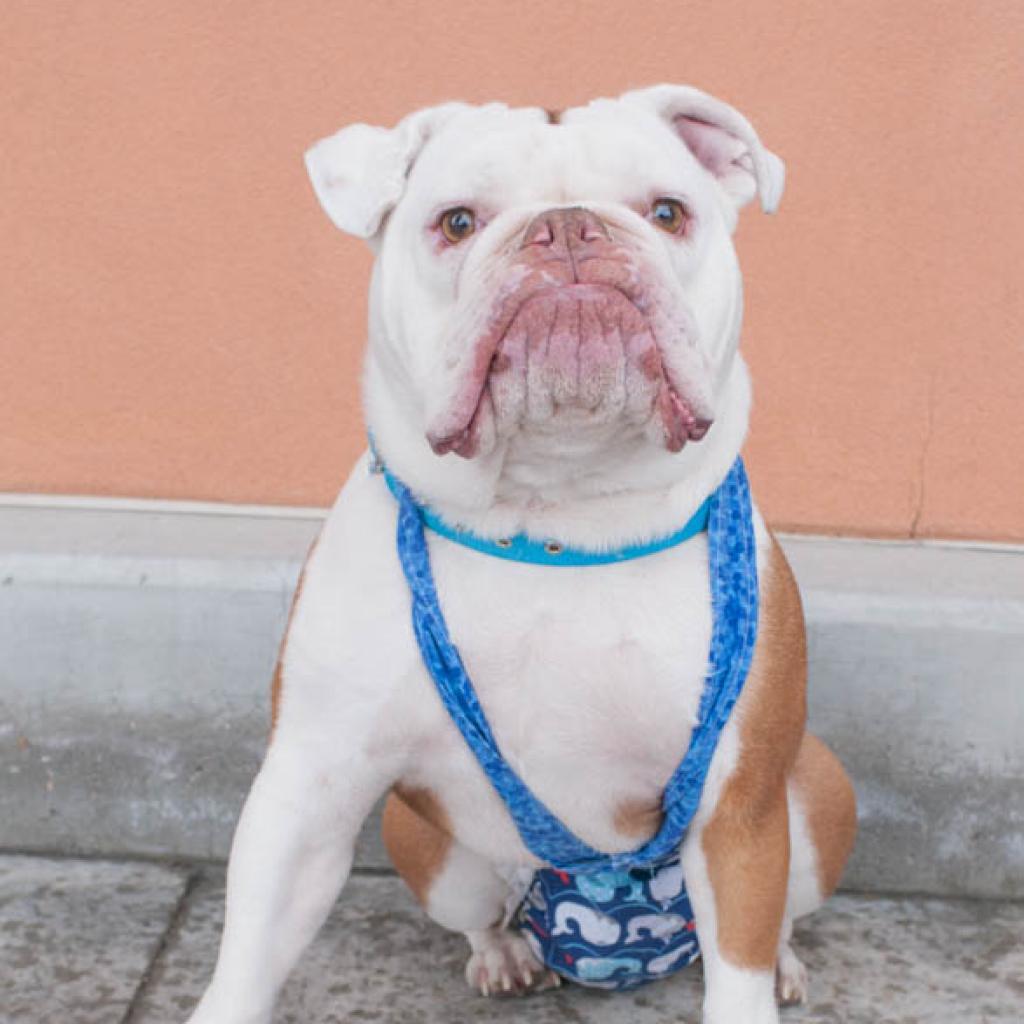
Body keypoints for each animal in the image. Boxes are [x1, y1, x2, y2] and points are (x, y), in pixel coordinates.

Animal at [184, 83, 856, 1019]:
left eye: (667, 212)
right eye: (458, 222)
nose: (570, 228)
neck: (553, 519)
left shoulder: (739, 806)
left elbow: (740, 973)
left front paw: (765, 978)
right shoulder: (310, 788)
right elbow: (249, 956)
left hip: (813, 800)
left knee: (778, 916)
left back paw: (788, 963)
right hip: (433, 854)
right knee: (480, 912)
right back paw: (503, 955)